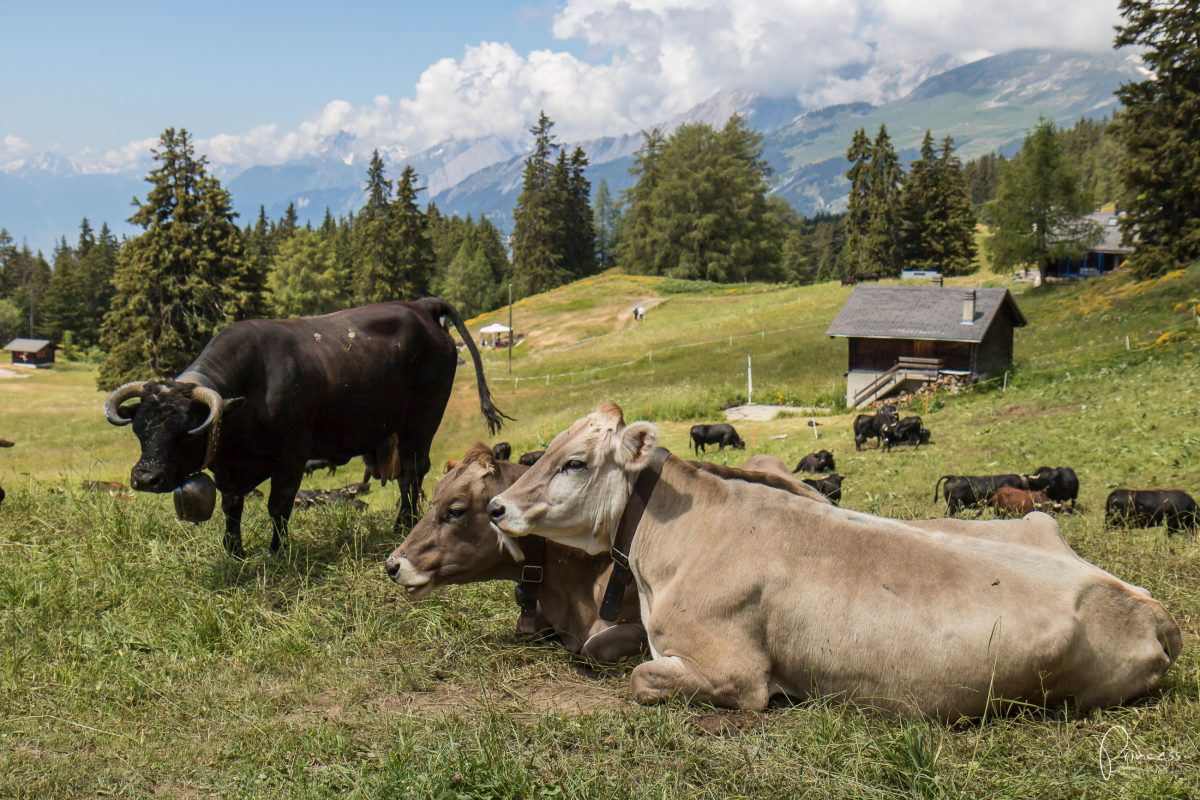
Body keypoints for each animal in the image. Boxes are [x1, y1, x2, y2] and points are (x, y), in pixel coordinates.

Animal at [104, 298, 511, 556]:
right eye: (140, 429)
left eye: (186, 430)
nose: (145, 477)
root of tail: (421, 306)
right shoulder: (229, 469)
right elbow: (232, 507)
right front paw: (234, 552)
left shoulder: (291, 457)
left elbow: (279, 506)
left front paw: (276, 552)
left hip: (422, 422)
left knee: (413, 472)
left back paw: (404, 524)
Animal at [487, 402, 1180, 724]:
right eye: (546, 449)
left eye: (575, 461)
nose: (496, 507)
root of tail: (1150, 608)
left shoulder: (736, 675)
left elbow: (640, 678)